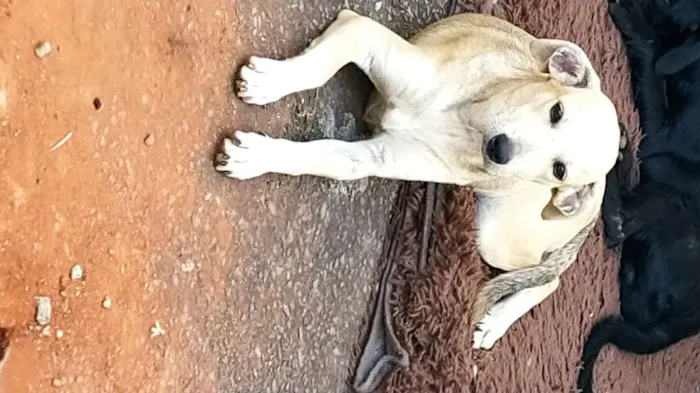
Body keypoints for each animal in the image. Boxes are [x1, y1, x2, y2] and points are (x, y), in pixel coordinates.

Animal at [217, 10, 616, 350]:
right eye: (556, 111)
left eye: (559, 170)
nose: (499, 150)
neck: (464, 121)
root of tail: (597, 202)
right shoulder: (362, 32)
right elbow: (319, 74)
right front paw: (272, 84)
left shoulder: (375, 156)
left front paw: (255, 154)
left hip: (494, 236)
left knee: (550, 278)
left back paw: (494, 323)